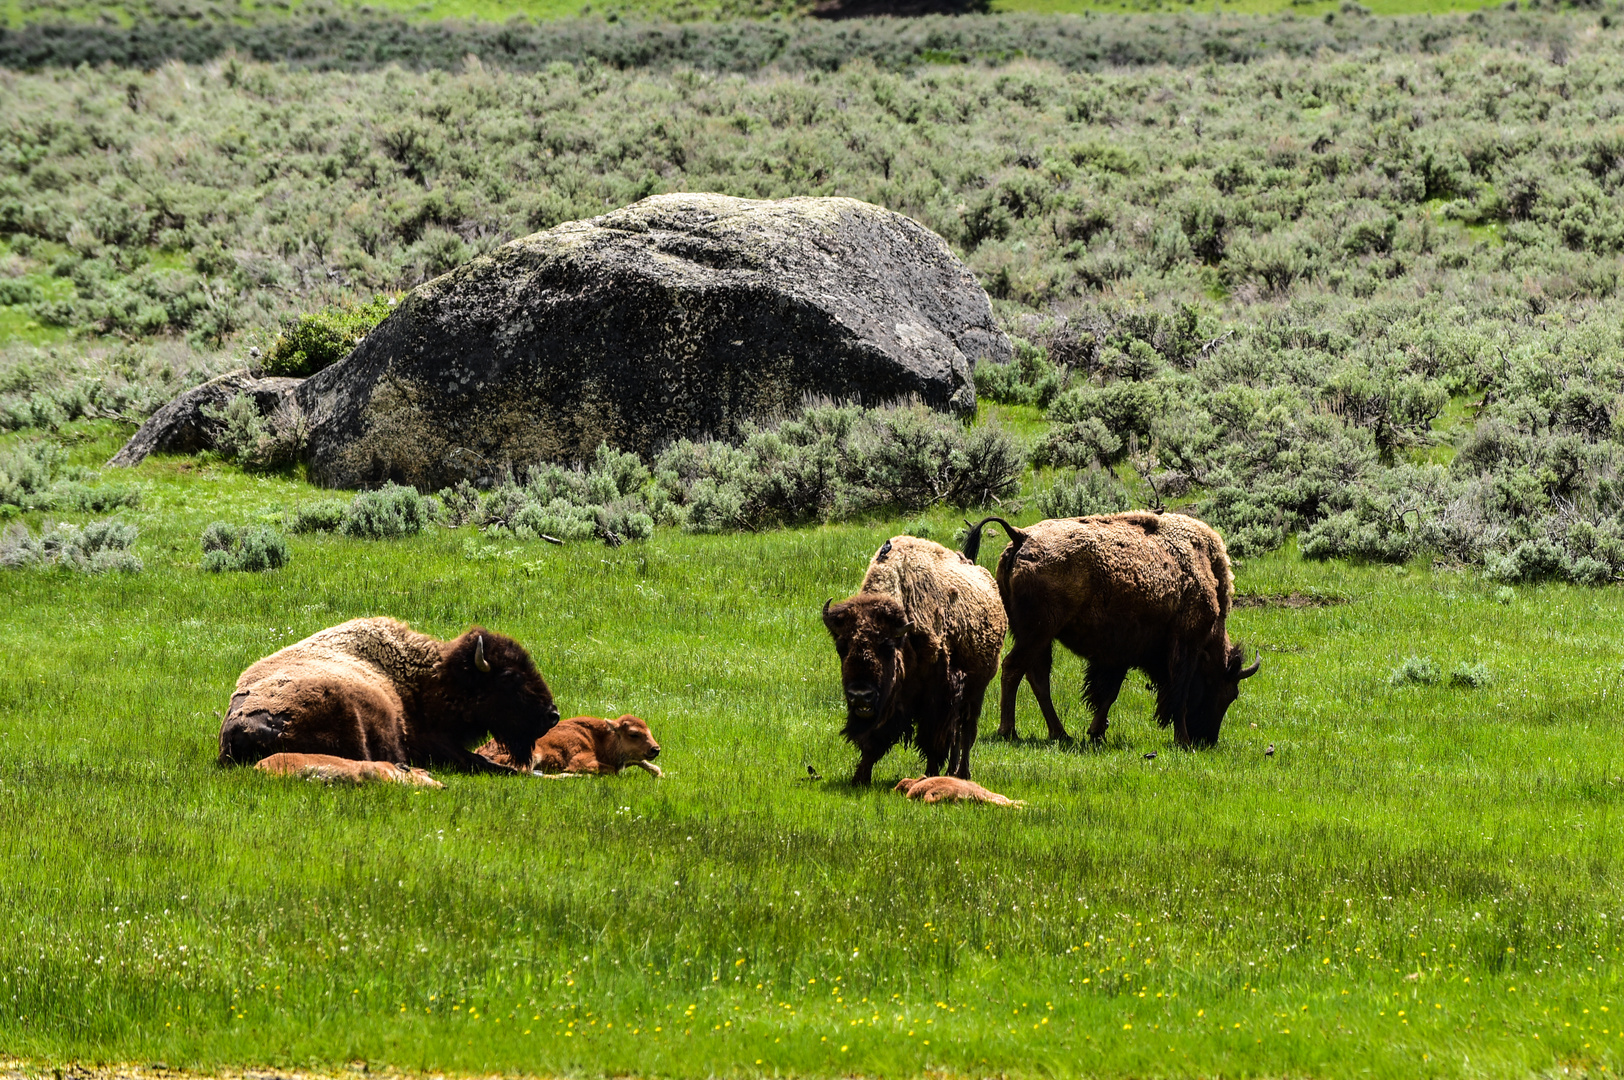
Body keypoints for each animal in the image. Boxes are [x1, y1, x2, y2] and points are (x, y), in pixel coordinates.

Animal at [477, 714, 662, 776]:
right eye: (633, 734)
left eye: (649, 730)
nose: (656, 749)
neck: (601, 738)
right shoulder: (582, 760)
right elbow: (614, 770)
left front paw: (659, 773)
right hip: (533, 754)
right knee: (524, 772)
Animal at [818, 535, 1006, 782]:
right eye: (842, 647)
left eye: (887, 647)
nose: (860, 695)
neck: (904, 637)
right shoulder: (890, 703)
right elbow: (874, 738)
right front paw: (860, 777)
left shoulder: (940, 695)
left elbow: (933, 739)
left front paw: (930, 775)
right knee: (957, 733)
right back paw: (952, 772)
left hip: (977, 690)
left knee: (966, 731)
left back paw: (962, 773)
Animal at [954, 509, 1260, 747]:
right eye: (1229, 693)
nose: (1205, 740)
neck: (1203, 567)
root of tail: (1020, 536)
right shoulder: (1185, 644)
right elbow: (1178, 693)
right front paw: (1181, 740)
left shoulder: (1120, 652)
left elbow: (1109, 692)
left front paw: (1096, 732)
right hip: (1038, 632)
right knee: (1013, 668)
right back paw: (1009, 731)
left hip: (1039, 636)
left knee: (1036, 677)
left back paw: (1060, 734)